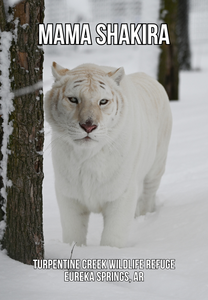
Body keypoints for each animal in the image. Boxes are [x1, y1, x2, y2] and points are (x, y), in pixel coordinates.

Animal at [44, 62, 171, 247]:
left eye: (103, 101)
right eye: (73, 99)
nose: (88, 126)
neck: (87, 156)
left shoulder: (122, 193)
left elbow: (113, 236)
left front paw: (108, 250)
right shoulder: (69, 194)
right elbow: (73, 233)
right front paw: (75, 247)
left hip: (155, 169)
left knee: (147, 198)